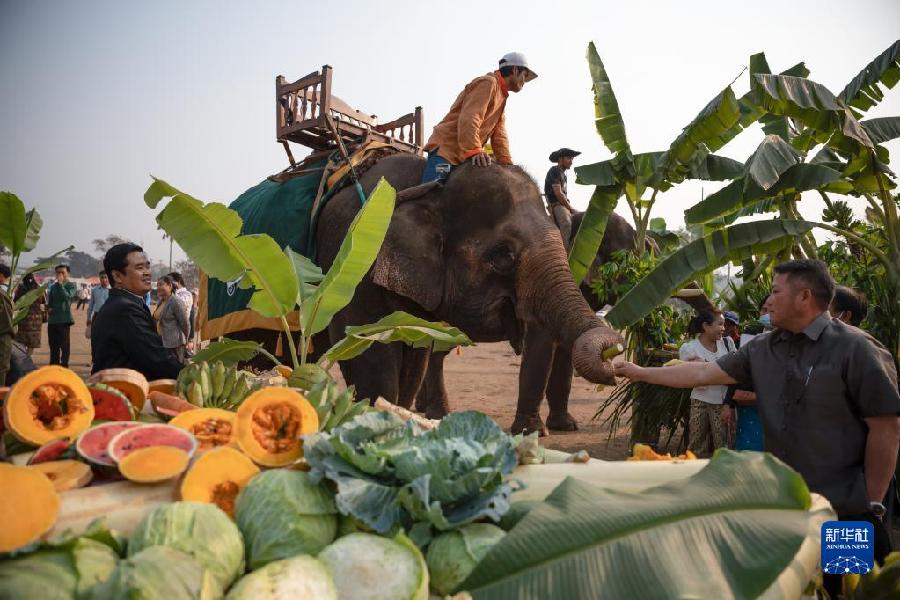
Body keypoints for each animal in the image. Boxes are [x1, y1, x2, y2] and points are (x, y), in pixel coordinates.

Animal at [310, 154, 624, 408]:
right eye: (502, 255)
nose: (612, 356)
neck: (429, 184)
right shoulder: (349, 263)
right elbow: (370, 363)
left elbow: (415, 361)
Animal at [414, 209, 640, 434]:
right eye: (624, 263)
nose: (613, 371)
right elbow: (540, 344)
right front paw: (533, 431)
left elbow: (565, 353)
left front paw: (566, 426)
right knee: (436, 350)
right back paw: (439, 414)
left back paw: (422, 407)